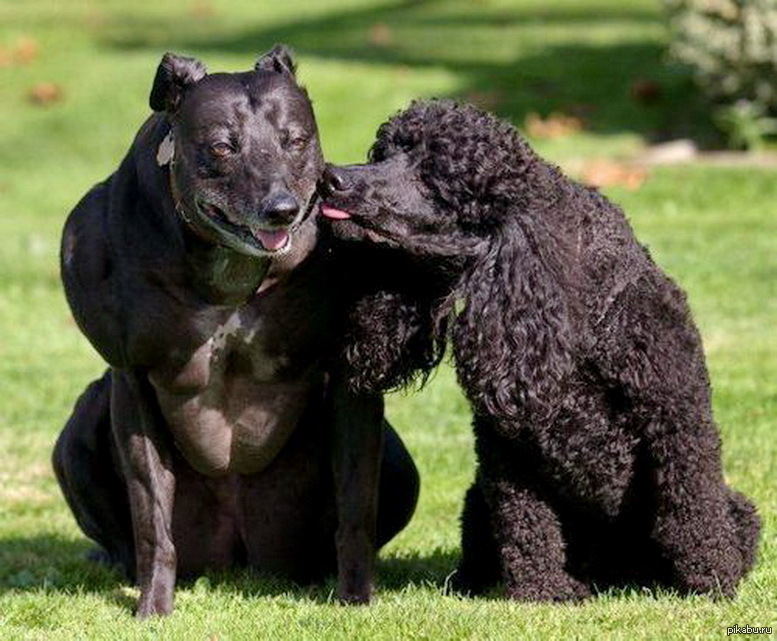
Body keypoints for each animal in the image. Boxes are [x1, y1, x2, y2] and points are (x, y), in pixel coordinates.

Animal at [53, 46, 418, 616]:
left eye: (296, 140)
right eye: (223, 147)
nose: (281, 208)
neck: (226, 265)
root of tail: (238, 558)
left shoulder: (351, 380)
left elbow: (357, 504)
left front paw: (356, 597)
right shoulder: (132, 379)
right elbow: (150, 514)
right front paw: (152, 606)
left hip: (394, 469)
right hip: (78, 432)